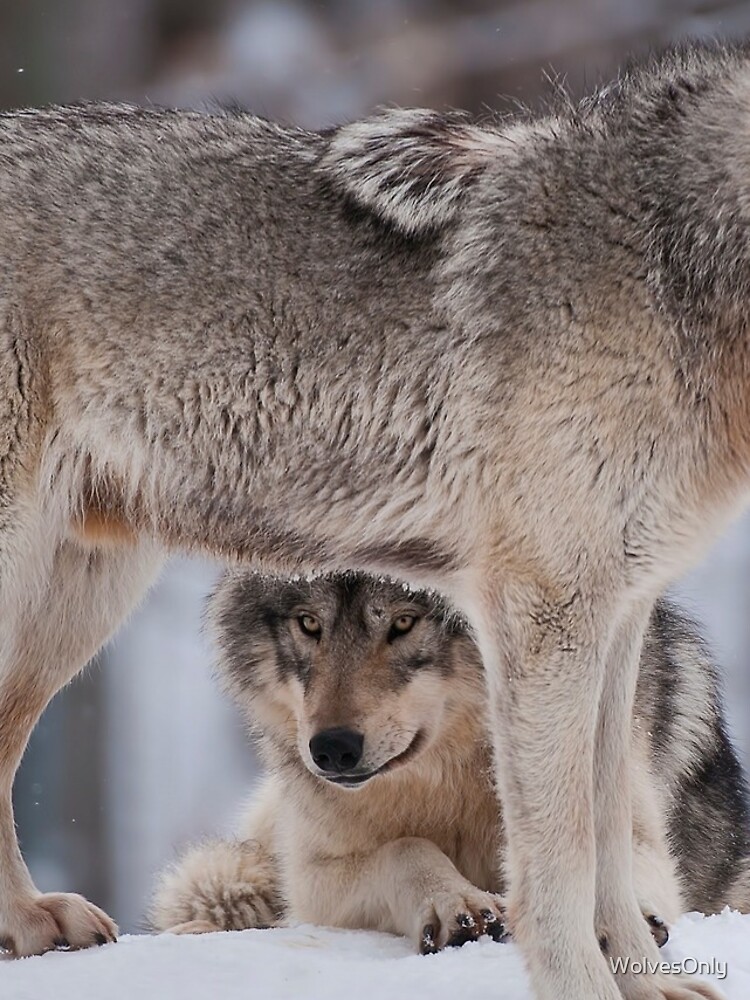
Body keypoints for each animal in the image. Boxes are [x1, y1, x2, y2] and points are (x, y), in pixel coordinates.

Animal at [151, 573, 750, 954]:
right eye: (308, 624)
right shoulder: (314, 878)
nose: (333, 749)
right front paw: (455, 902)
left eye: (404, 622)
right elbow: (405, 847)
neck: (451, 777)